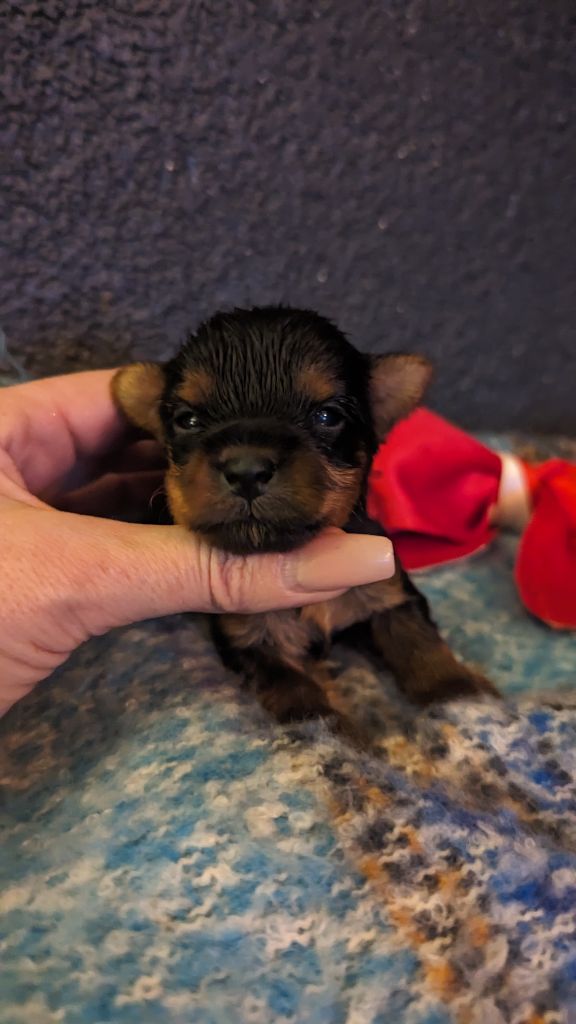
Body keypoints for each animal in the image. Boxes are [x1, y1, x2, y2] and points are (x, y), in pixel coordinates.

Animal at [113, 303, 498, 729]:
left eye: (327, 416)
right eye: (188, 420)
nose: (246, 470)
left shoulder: (388, 589)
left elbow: (419, 644)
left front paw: (461, 695)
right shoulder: (251, 637)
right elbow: (298, 696)